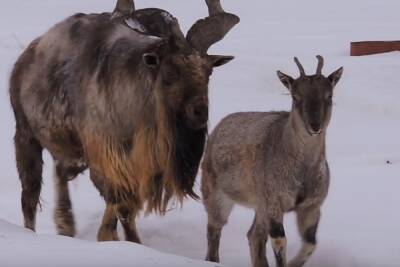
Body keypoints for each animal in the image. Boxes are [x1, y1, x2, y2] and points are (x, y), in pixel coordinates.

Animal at [202, 56, 342, 267]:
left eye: (329, 95)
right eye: (295, 96)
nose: (314, 125)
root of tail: (216, 131)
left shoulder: (311, 205)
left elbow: (310, 243)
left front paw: (294, 263)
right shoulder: (274, 201)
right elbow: (279, 241)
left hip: (259, 206)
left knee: (254, 235)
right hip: (217, 195)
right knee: (214, 230)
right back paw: (212, 259)